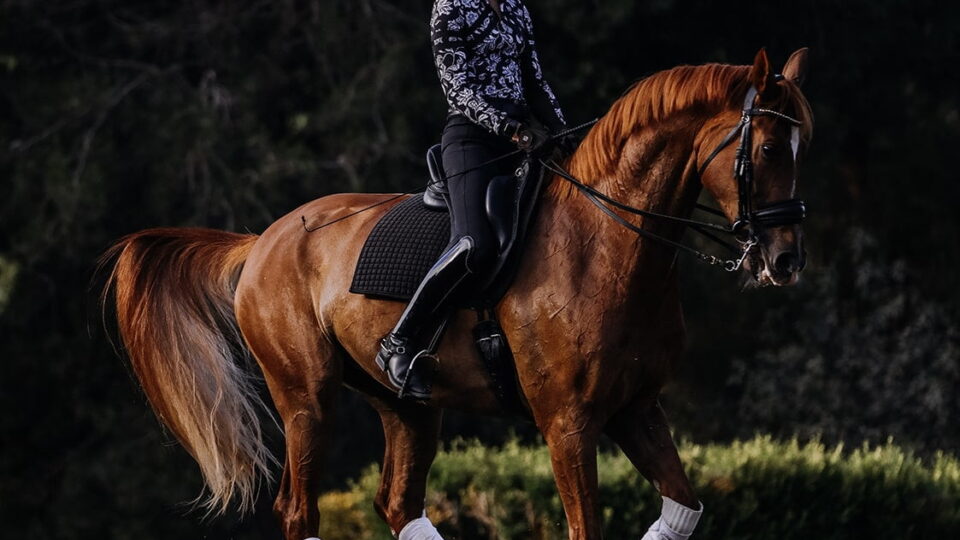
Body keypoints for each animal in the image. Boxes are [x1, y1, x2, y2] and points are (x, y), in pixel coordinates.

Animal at [103, 48, 812, 539]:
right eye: (767, 148)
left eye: (802, 147)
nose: (786, 260)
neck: (607, 243)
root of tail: (261, 241)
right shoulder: (569, 423)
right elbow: (586, 525)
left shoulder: (636, 409)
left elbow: (683, 508)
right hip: (306, 397)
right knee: (299, 510)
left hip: (407, 407)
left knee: (398, 503)